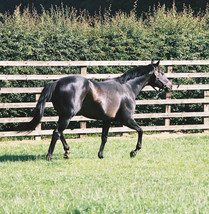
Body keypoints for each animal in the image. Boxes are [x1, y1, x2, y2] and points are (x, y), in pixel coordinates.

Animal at [20, 59, 171, 159]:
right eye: (162, 72)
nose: (170, 85)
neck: (127, 88)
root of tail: (57, 82)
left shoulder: (107, 120)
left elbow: (104, 137)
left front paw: (100, 155)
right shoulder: (126, 119)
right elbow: (141, 130)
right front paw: (134, 152)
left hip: (63, 115)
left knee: (59, 132)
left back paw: (67, 152)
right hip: (68, 116)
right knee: (57, 133)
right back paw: (49, 156)